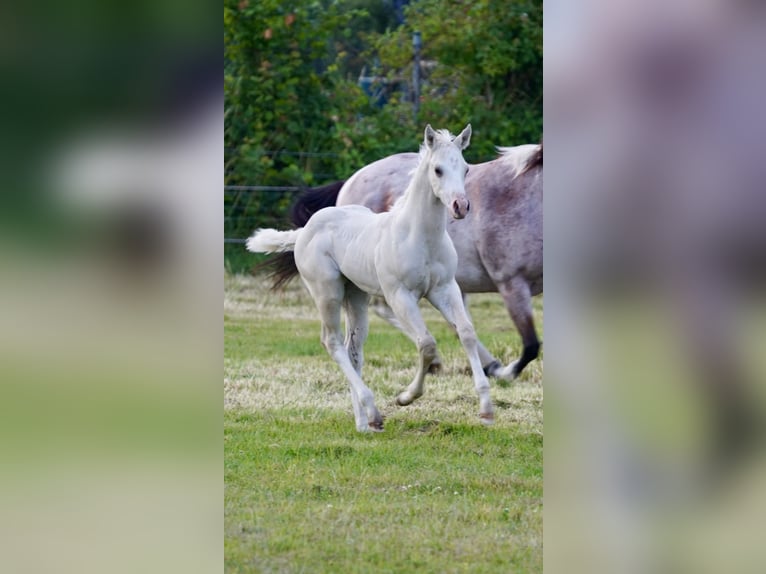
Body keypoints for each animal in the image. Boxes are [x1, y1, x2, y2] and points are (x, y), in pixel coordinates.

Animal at [247, 125, 496, 432]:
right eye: (437, 170)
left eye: (465, 168)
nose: (461, 206)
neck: (420, 237)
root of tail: (306, 229)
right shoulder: (399, 296)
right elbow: (426, 344)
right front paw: (405, 397)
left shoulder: (445, 289)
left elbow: (467, 333)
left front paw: (486, 410)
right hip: (327, 292)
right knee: (332, 342)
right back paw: (373, 412)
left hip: (356, 295)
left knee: (353, 349)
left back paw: (364, 423)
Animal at [266, 142, 543, 379]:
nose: (461, 207)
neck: (524, 199)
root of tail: (349, 184)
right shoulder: (511, 283)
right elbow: (531, 345)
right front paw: (507, 372)